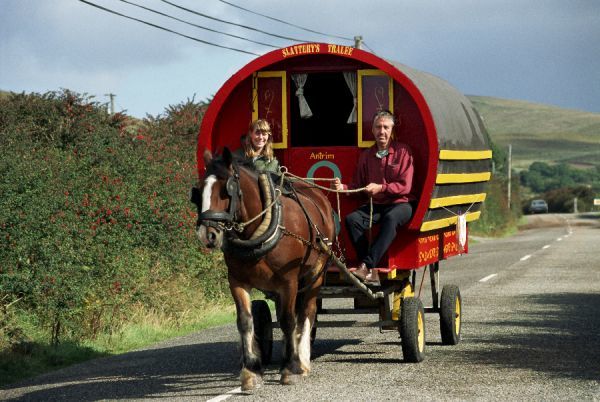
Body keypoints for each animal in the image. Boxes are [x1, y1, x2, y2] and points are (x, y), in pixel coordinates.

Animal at [191, 148, 336, 390]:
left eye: (226, 189)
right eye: (199, 190)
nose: (207, 235)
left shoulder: (289, 281)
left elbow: (288, 321)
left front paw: (289, 368)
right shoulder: (237, 281)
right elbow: (245, 321)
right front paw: (251, 371)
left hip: (315, 274)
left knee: (307, 312)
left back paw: (303, 360)